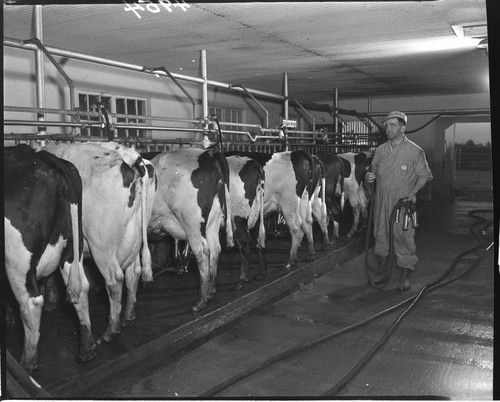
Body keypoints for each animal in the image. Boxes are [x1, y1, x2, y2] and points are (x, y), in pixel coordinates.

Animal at [4, 144, 95, 374]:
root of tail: (40, 155)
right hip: (73, 247)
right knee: (81, 288)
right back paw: (86, 349)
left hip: (16, 260)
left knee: (31, 302)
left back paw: (27, 363)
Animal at [46, 141, 157, 342]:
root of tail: (130, 156)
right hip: (135, 238)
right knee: (133, 273)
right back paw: (128, 317)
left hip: (101, 245)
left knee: (114, 279)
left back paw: (110, 331)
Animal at [147, 148, 233, 310]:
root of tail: (210, 154)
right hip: (212, 221)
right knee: (215, 250)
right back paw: (210, 292)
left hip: (192, 222)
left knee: (202, 252)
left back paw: (201, 301)